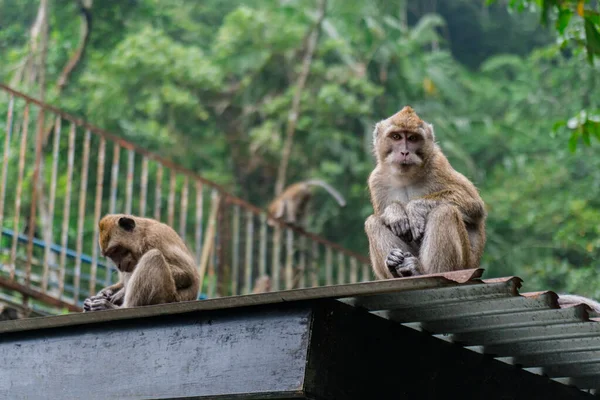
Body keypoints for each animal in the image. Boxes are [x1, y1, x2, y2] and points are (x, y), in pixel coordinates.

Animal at [366, 108, 488, 280]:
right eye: (396, 137)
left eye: (413, 138)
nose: (404, 152)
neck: (406, 177)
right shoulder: (376, 179)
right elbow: (382, 215)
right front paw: (394, 212)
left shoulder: (439, 164)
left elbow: (475, 206)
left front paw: (415, 208)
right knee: (373, 222)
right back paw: (395, 265)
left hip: (465, 263)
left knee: (444, 211)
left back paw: (423, 270)